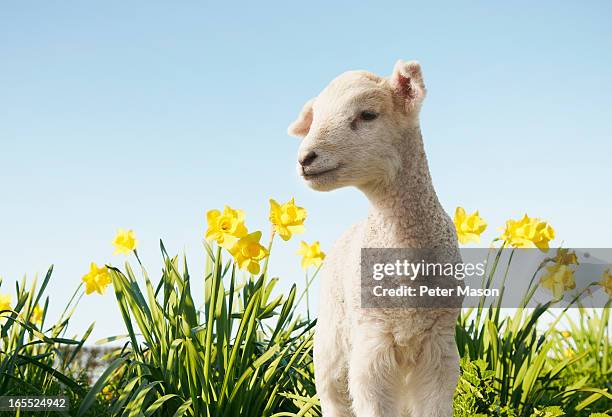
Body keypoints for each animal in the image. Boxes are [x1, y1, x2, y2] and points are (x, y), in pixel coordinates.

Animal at [290, 59, 462, 416]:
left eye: (368, 114)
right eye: (316, 118)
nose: (305, 158)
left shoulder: (439, 342)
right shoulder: (372, 340)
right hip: (330, 343)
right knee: (333, 398)